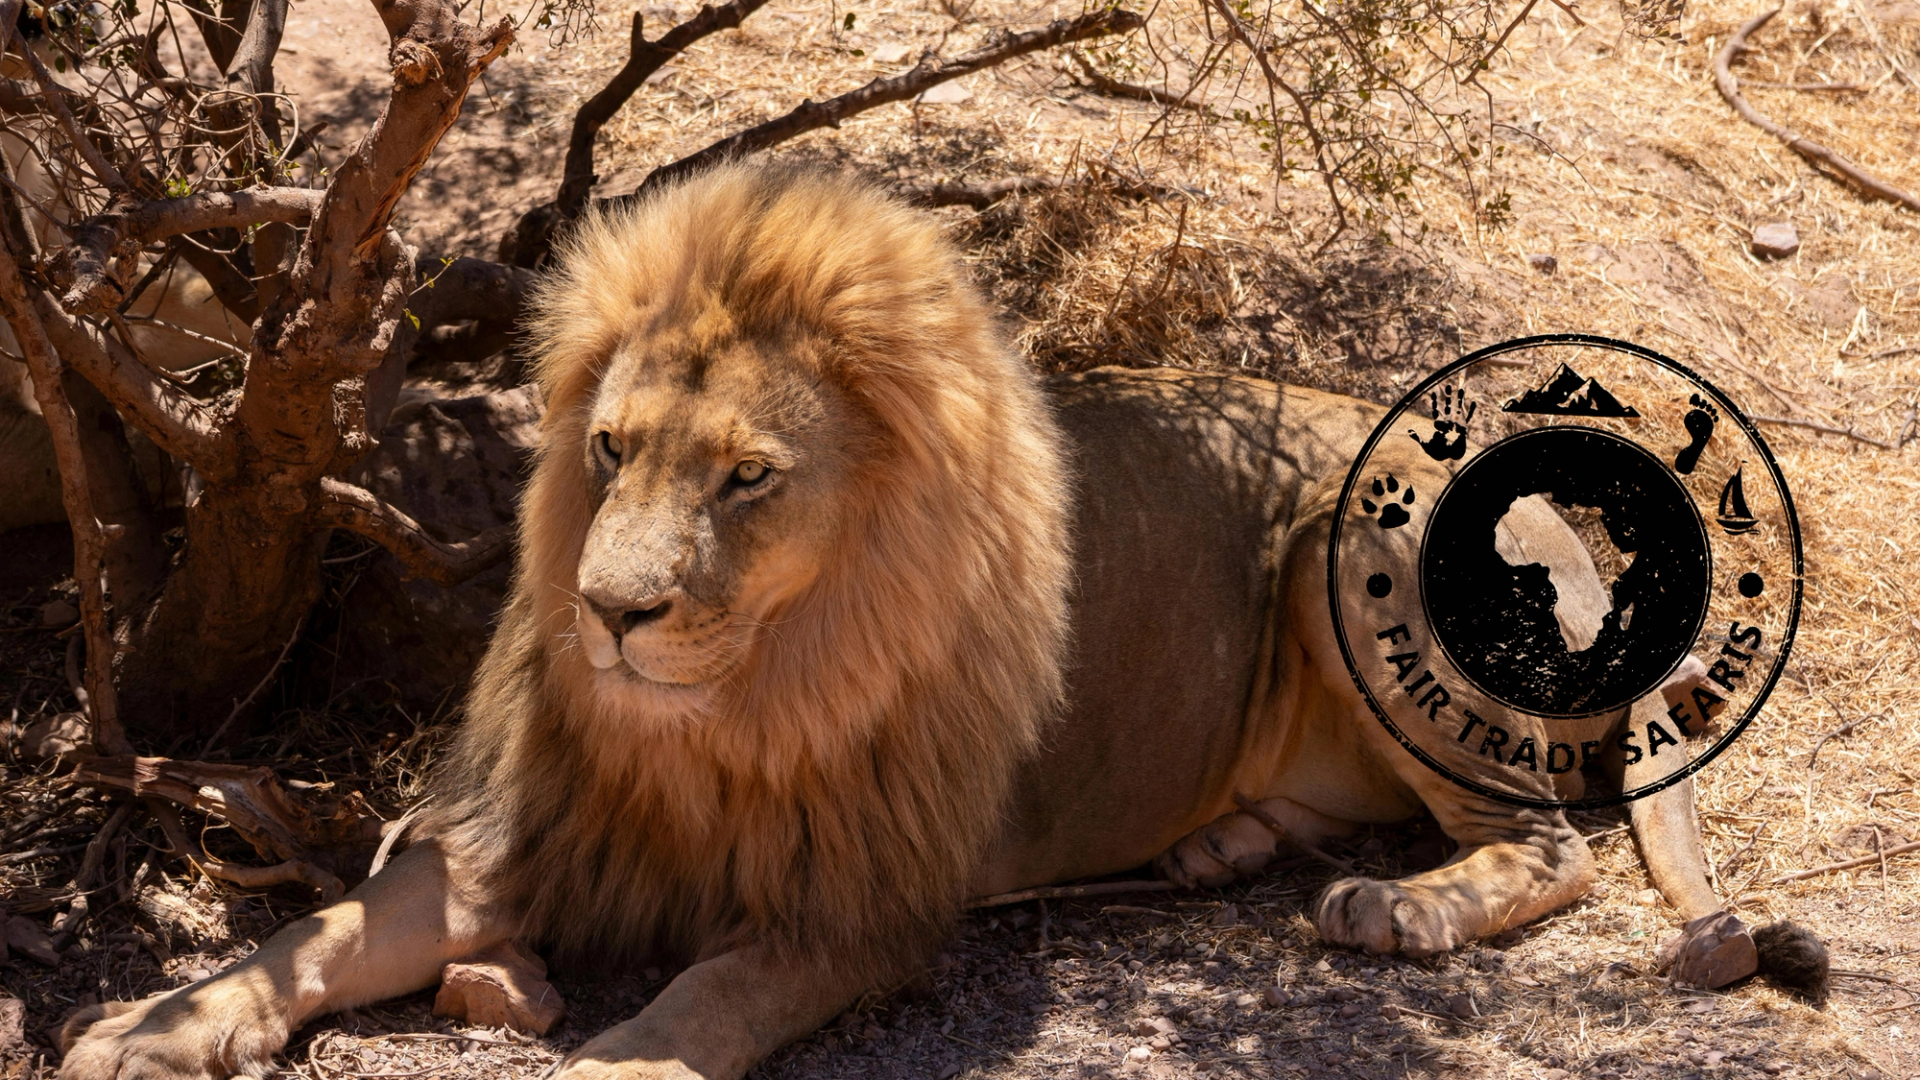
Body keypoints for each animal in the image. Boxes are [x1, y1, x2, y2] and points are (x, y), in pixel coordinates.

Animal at [58, 165, 1823, 1080]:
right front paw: (146, 1024)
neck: (721, 706)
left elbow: (695, 1010)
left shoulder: (856, 908)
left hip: (1348, 536)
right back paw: (1225, 845)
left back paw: (1393, 909)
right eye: (611, 450)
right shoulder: (516, 838)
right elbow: (311, 937)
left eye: (748, 476)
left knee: (1550, 843)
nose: (610, 614)